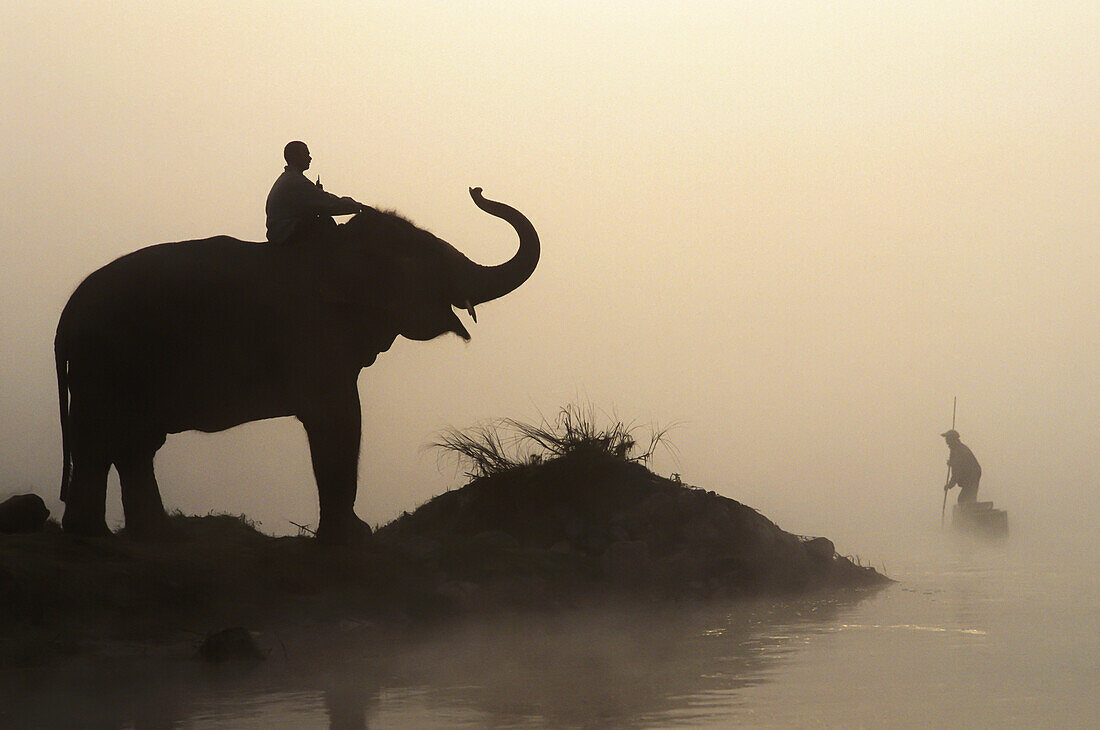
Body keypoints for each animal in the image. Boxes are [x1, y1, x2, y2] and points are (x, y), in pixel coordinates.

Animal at [58, 187, 539, 540]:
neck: (339, 247)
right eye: (429, 259)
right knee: (100, 440)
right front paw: (353, 537)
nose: (477, 189)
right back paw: (93, 540)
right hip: (103, 364)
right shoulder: (312, 334)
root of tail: (65, 320)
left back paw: (153, 536)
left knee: (133, 444)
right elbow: (339, 415)